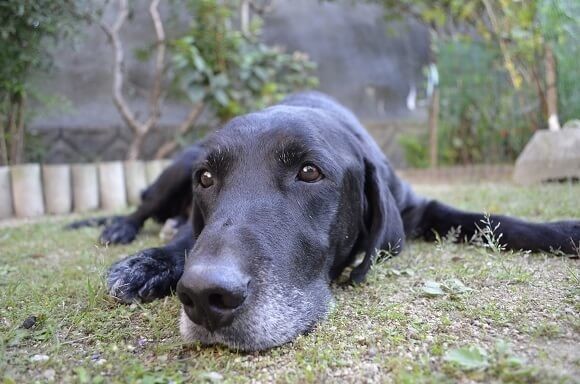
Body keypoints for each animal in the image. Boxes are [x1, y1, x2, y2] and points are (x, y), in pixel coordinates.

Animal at [84, 91, 576, 350]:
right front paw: (147, 264)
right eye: (206, 179)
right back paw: (123, 229)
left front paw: (566, 230)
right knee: (142, 208)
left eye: (309, 172)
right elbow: (187, 240)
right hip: (175, 168)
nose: (205, 296)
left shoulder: (420, 209)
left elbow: (489, 220)